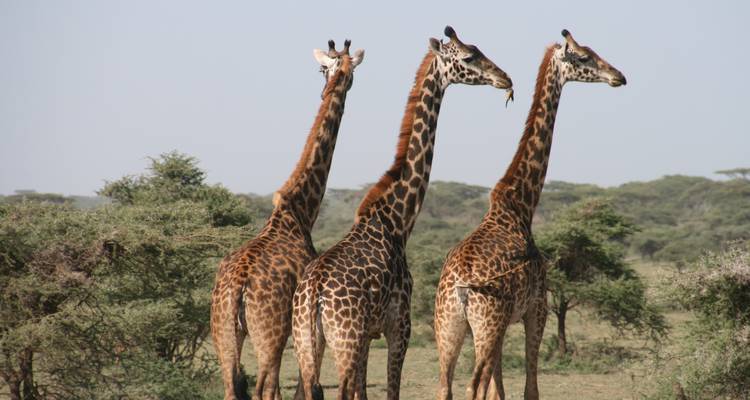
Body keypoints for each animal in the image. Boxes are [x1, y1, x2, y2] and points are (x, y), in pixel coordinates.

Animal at [210, 39, 364, 400]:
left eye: (327, 69)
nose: (337, 84)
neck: (300, 212)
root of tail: (237, 287)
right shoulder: (300, 326)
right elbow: (300, 387)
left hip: (223, 333)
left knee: (232, 386)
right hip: (270, 333)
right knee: (263, 387)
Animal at [292, 26, 513, 400]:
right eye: (469, 57)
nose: (505, 78)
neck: (397, 219)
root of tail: (314, 294)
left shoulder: (370, 334)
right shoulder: (400, 326)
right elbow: (390, 389)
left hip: (307, 344)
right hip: (345, 340)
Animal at [433, 29, 626, 400]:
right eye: (584, 57)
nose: (618, 76)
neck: (521, 204)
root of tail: (460, 289)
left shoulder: (508, 321)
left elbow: (500, 391)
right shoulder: (537, 310)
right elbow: (528, 388)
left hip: (449, 326)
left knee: (446, 387)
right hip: (486, 323)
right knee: (472, 386)